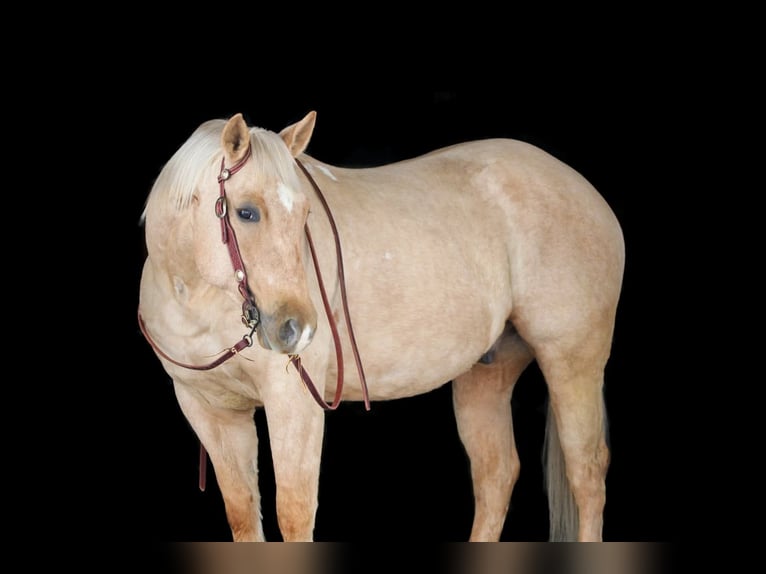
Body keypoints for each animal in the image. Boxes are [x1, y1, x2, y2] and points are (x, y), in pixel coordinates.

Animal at [138, 111, 625, 541]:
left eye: (304, 216)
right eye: (246, 213)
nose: (299, 329)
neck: (197, 301)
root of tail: (586, 192)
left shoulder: (293, 402)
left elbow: (294, 512)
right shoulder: (210, 410)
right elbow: (243, 513)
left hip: (572, 361)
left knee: (587, 472)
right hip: (487, 371)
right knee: (497, 474)